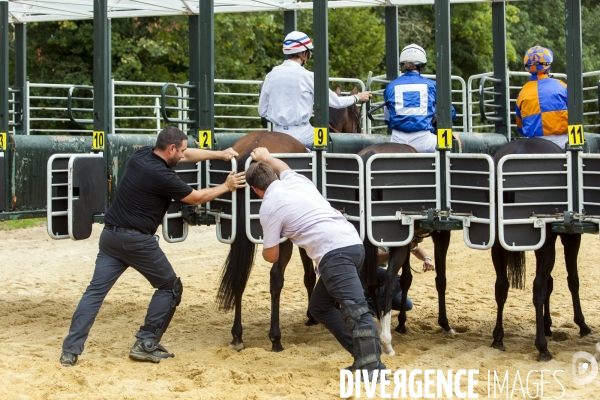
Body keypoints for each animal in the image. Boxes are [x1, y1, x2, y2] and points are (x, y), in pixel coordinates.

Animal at [358, 142, 452, 354]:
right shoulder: (441, 236)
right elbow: (440, 280)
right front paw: (445, 324)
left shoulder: (408, 242)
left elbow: (407, 279)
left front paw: (402, 324)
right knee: (389, 281)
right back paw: (386, 341)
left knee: (371, 283)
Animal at [490, 138, 592, 362]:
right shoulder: (570, 237)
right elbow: (572, 280)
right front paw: (581, 324)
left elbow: (550, 283)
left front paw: (548, 325)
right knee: (538, 287)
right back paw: (542, 347)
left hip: (498, 243)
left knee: (501, 285)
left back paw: (498, 338)